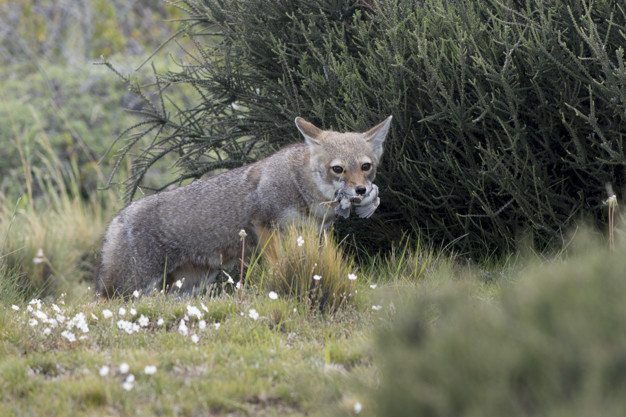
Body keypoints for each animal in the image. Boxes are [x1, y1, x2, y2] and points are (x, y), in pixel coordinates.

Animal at [94, 114, 388, 296]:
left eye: (365, 166)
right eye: (338, 169)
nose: (361, 190)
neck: (303, 188)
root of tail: (118, 218)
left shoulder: (315, 234)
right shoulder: (264, 225)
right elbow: (278, 265)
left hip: (186, 287)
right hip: (131, 287)